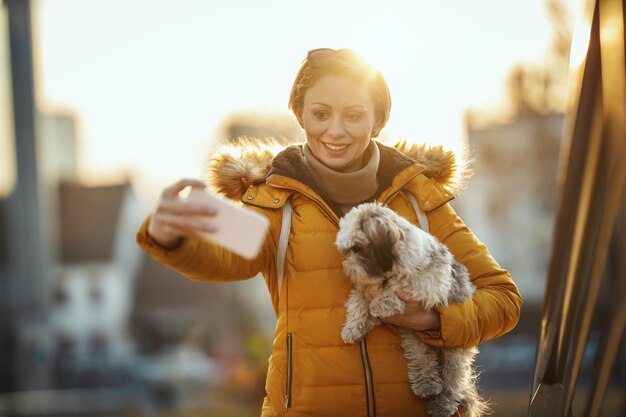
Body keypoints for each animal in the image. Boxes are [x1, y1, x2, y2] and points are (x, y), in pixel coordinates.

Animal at [336, 203, 488, 416]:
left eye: (357, 248)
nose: (347, 266)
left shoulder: (431, 284)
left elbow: (402, 286)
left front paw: (382, 303)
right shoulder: (365, 286)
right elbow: (358, 302)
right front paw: (353, 328)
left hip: (454, 354)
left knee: (452, 384)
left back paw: (441, 405)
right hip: (415, 342)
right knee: (424, 360)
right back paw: (427, 386)